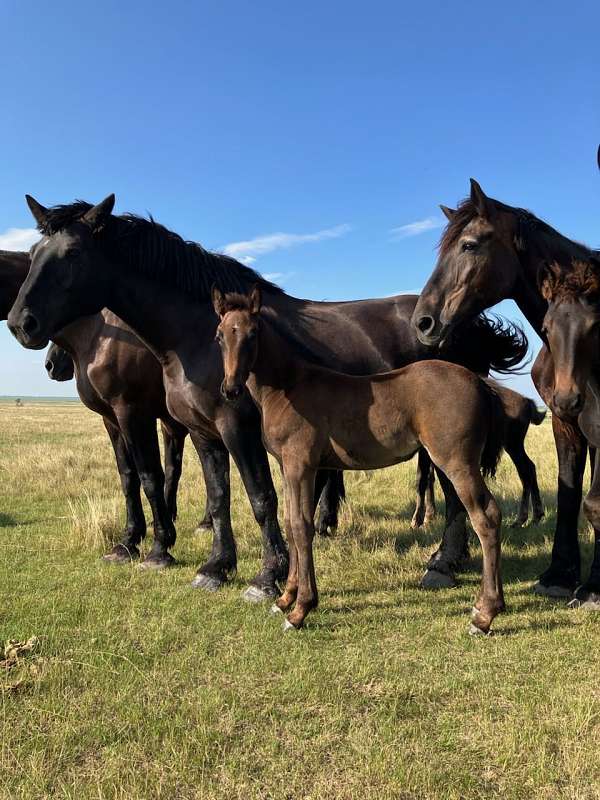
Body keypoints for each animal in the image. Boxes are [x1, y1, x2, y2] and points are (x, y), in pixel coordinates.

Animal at [7, 194, 526, 598]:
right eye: (34, 252)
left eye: (73, 253)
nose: (20, 323)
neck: (193, 335)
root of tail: (460, 324)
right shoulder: (202, 432)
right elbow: (218, 499)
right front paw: (215, 567)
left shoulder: (230, 426)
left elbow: (259, 497)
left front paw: (267, 576)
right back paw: (450, 559)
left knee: (458, 497)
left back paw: (442, 564)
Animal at [213, 286, 506, 634]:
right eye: (219, 335)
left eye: (252, 333)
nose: (230, 389)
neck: (288, 388)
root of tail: (479, 383)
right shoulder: (287, 467)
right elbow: (290, 522)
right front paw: (285, 599)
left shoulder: (301, 465)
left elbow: (301, 526)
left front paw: (300, 610)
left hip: (457, 462)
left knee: (485, 517)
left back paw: (484, 615)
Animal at [411, 178, 598, 600]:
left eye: (470, 244)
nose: (423, 322)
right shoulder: (565, 420)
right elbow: (568, 492)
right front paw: (559, 575)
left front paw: (593, 586)